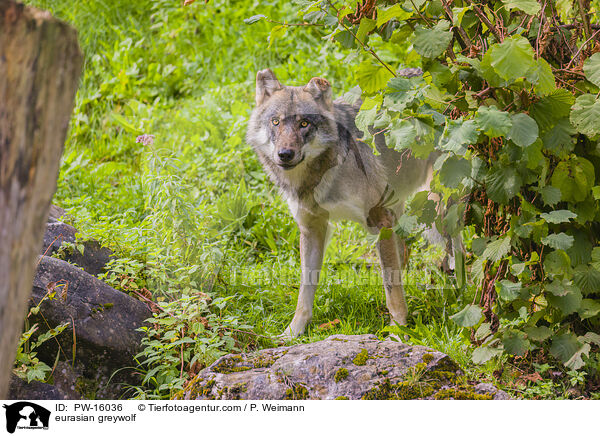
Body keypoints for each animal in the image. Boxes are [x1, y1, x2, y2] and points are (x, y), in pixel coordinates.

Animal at [246, 70, 442, 338]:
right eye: (275, 122)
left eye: (304, 124)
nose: (284, 154)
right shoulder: (312, 228)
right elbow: (305, 290)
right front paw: (292, 333)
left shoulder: (380, 221)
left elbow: (391, 288)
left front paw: (399, 331)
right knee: (405, 251)